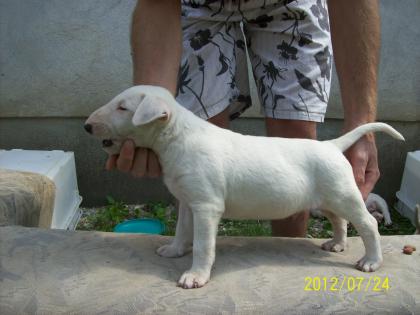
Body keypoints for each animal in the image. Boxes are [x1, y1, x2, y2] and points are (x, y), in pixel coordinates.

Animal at [85, 85, 404, 290]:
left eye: (123, 108)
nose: (87, 126)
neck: (177, 136)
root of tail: (332, 145)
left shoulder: (207, 207)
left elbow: (203, 244)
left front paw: (195, 276)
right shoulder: (189, 202)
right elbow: (182, 229)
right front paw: (174, 250)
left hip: (345, 195)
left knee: (368, 224)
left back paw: (371, 261)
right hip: (328, 199)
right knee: (339, 221)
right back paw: (337, 244)